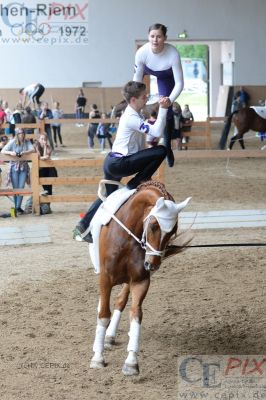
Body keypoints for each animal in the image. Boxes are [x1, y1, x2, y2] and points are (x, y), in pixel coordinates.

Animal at [90, 180, 190, 376]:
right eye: (153, 225)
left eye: (173, 230)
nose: (153, 264)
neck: (127, 237)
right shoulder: (106, 278)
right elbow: (103, 315)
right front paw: (98, 358)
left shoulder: (140, 280)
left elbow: (136, 315)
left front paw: (131, 363)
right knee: (105, 305)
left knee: (120, 300)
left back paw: (110, 336)